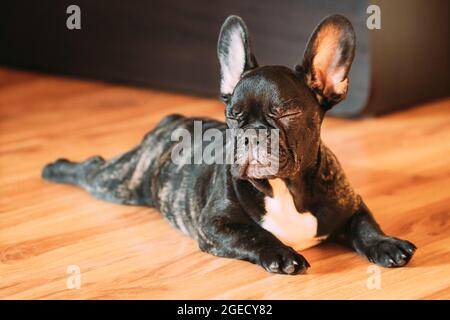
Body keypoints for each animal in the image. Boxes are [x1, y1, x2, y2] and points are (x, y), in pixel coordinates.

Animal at [42, 15, 414, 274]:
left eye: (286, 112)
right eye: (233, 116)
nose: (251, 134)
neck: (284, 188)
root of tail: (170, 121)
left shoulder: (351, 204)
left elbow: (366, 225)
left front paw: (386, 243)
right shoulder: (214, 226)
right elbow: (256, 235)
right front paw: (283, 253)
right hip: (120, 182)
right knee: (92, 167)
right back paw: (54, 168)